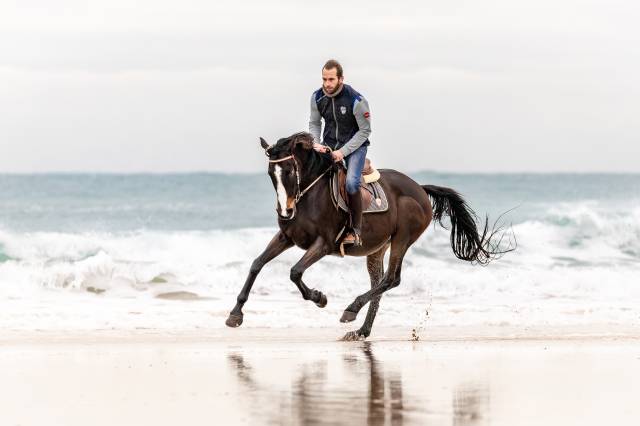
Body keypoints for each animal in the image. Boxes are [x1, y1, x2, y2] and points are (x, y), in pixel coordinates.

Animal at [225, 132, 510, 340]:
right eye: (270, 174)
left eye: (290, 171)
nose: (285, 211)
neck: (308, 194)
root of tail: (419, 188)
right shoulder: (286, 237)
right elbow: (257, 264)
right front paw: (235, 314)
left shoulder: (324, 243)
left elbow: (295, 272)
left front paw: (320, 298)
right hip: (376, 249)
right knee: (379, 283)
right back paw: (361, 330)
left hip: (402, 239)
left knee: (391, 279)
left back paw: (350, 311)